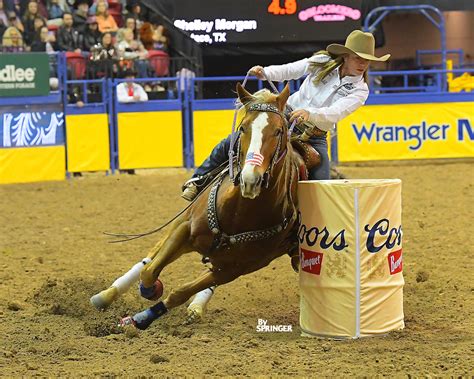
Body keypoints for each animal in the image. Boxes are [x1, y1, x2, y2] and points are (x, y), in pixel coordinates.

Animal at [90, 82, 300, 330]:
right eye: (243, 128)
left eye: (278, 131)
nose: (250, 179)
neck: (239, 211)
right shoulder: (184, 229)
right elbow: (150, 272)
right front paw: (149, 290)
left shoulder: (236, 268)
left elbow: (179, 293)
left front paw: (142, 318)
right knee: (149, 258)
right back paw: (105, 296)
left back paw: (195, 308)